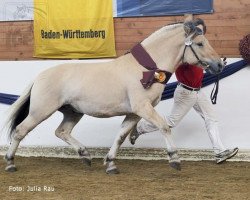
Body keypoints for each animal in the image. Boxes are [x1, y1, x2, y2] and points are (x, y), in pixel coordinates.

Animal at [3, 16, 224, 173]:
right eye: (200, 43)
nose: (219, 64)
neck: (145, 70)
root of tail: (39, 76)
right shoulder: (143, 108)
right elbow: (164, 126)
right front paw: (175, 159)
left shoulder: (134, 113)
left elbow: (120, 136)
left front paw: (110, 164)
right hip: (41, 111)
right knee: (20, 131)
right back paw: (10, 163)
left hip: (73, 112)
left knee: (62, 132)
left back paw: (85, 155)